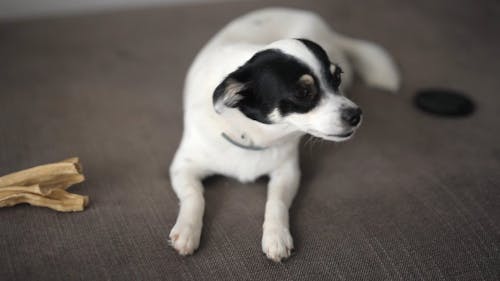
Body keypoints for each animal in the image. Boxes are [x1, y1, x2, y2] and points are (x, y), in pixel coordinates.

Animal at [168, 7, 398, 262]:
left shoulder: (287, 172)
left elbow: (276, 201)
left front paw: (276, 236)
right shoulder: (183, 167)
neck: (252, 132)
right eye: (303, 92)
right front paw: (186, 230)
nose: (356, 114)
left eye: (337, 77)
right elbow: (194, 196)